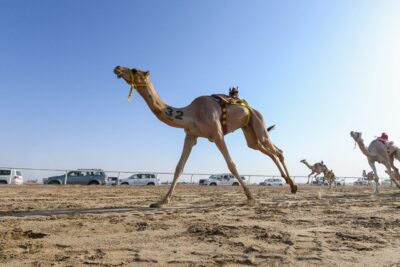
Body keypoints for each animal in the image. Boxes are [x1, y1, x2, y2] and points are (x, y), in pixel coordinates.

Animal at [112, 66, 296, 208]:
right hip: (250, 132)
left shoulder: (217, 134)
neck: (191, 113)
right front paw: (162, 201)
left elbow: (231, 165)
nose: (117, 68)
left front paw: (250, 197)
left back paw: (293, 185)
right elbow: (179, 167)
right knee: (267, 150)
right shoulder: (190, 136)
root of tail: (252, 108)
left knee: (277, 151)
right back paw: (290, 184)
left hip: (258, 123)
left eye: (134, 69)